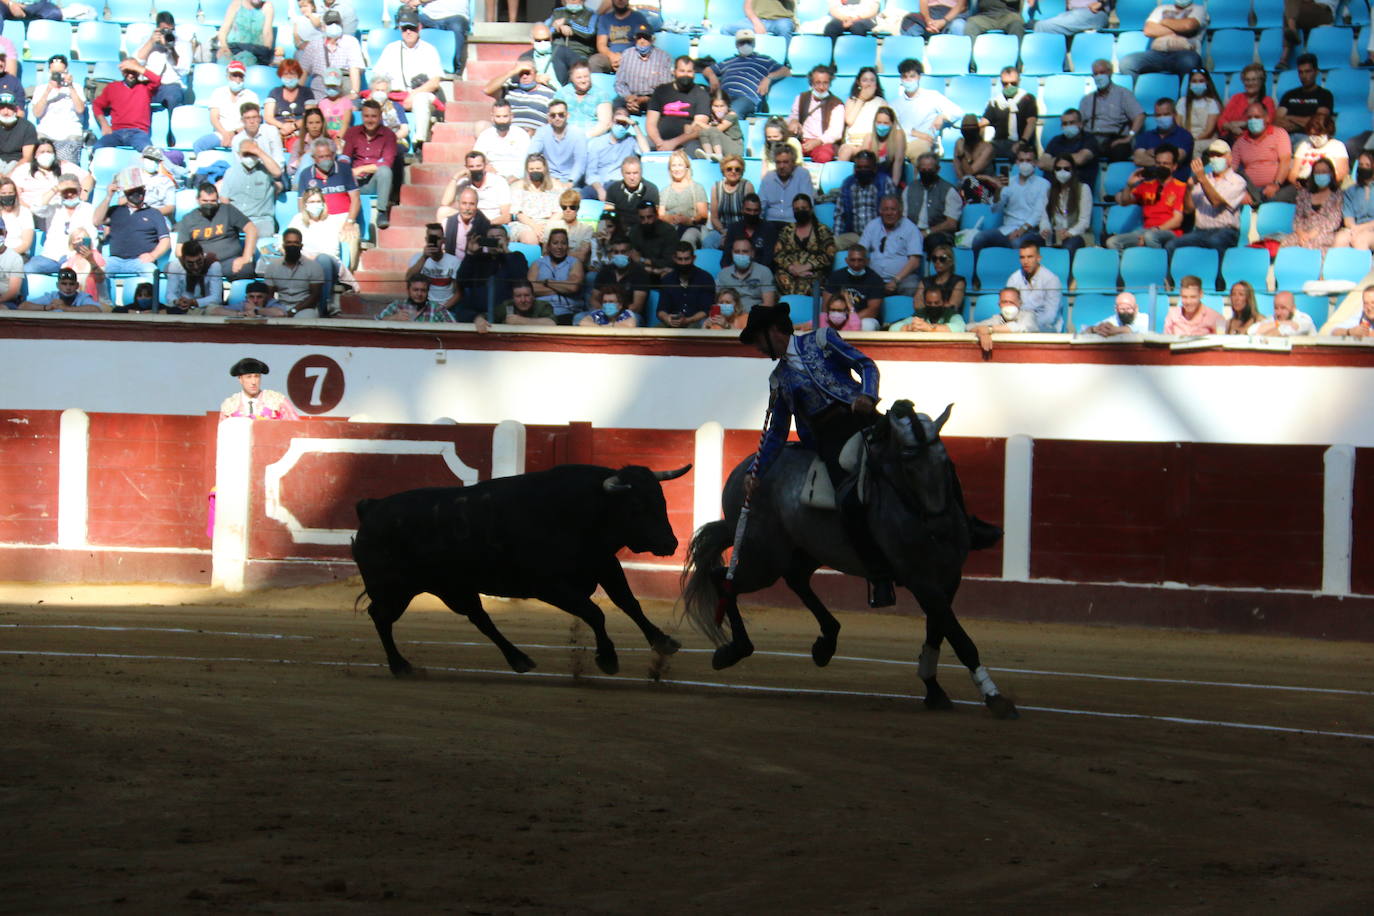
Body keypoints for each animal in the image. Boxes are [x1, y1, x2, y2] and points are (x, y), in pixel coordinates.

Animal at [354, 466, 692, 672]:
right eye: (636, 505)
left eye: (661, 500)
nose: (670, 542)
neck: (579, 511)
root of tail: (371, 507)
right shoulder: (548, 585)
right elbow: (594, 612)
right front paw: (608, 658)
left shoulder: (604, 565)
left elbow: (629, 603)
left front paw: (664, 641)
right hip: (396, 589)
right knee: (380, 616)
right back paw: (401, 666)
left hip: (453, 588)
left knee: (480, 619)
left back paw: (518, 658)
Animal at [678, 401, 1022, 725]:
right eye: (908, 464)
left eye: (946, 462)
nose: (939, 529)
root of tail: (746, 469)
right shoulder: (920, 580)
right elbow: (960, 638)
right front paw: (996, 699)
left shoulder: (949, 578)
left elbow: (938, 631)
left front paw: (934, 689)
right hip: (764, 558)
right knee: (724, 578)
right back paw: (735, 649)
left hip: (806, 550)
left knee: (795, 578)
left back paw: (826, 642)